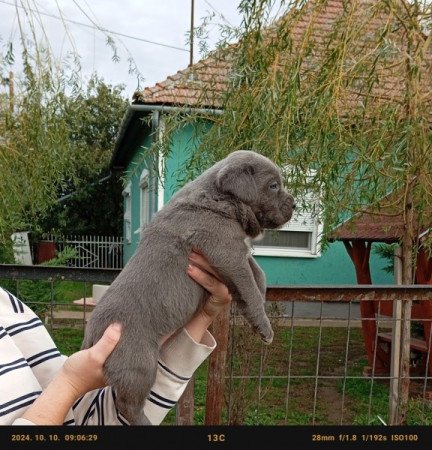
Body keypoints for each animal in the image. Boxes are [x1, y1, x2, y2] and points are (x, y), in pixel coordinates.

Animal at [80, 150, 296, 426]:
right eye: (273, 186)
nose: (295, 205)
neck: (219, 200)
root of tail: (91, 337)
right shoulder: (226, 252)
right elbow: (248, 285)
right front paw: (264, 326)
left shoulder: (238, 251)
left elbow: (258, 273)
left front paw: (262, 298)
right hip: (139, 364)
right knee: (127, 405)